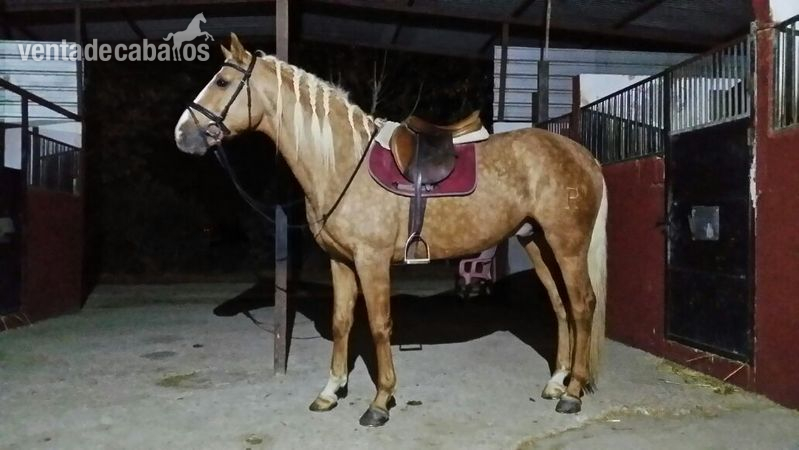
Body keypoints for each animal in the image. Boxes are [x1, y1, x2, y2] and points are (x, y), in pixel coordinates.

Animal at [174, 34, 607, 427]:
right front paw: (330, 391)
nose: (181, 135)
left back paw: (572, 393)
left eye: (222, 82)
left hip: (567, 245)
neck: (342, 162)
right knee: (560, 306)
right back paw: (556, 381)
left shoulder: (372, 261)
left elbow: (380, 326)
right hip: (537, 242)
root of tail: (583, 155)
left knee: (582, 305)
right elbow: (342, 322)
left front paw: (380, 402)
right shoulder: (340, 262)